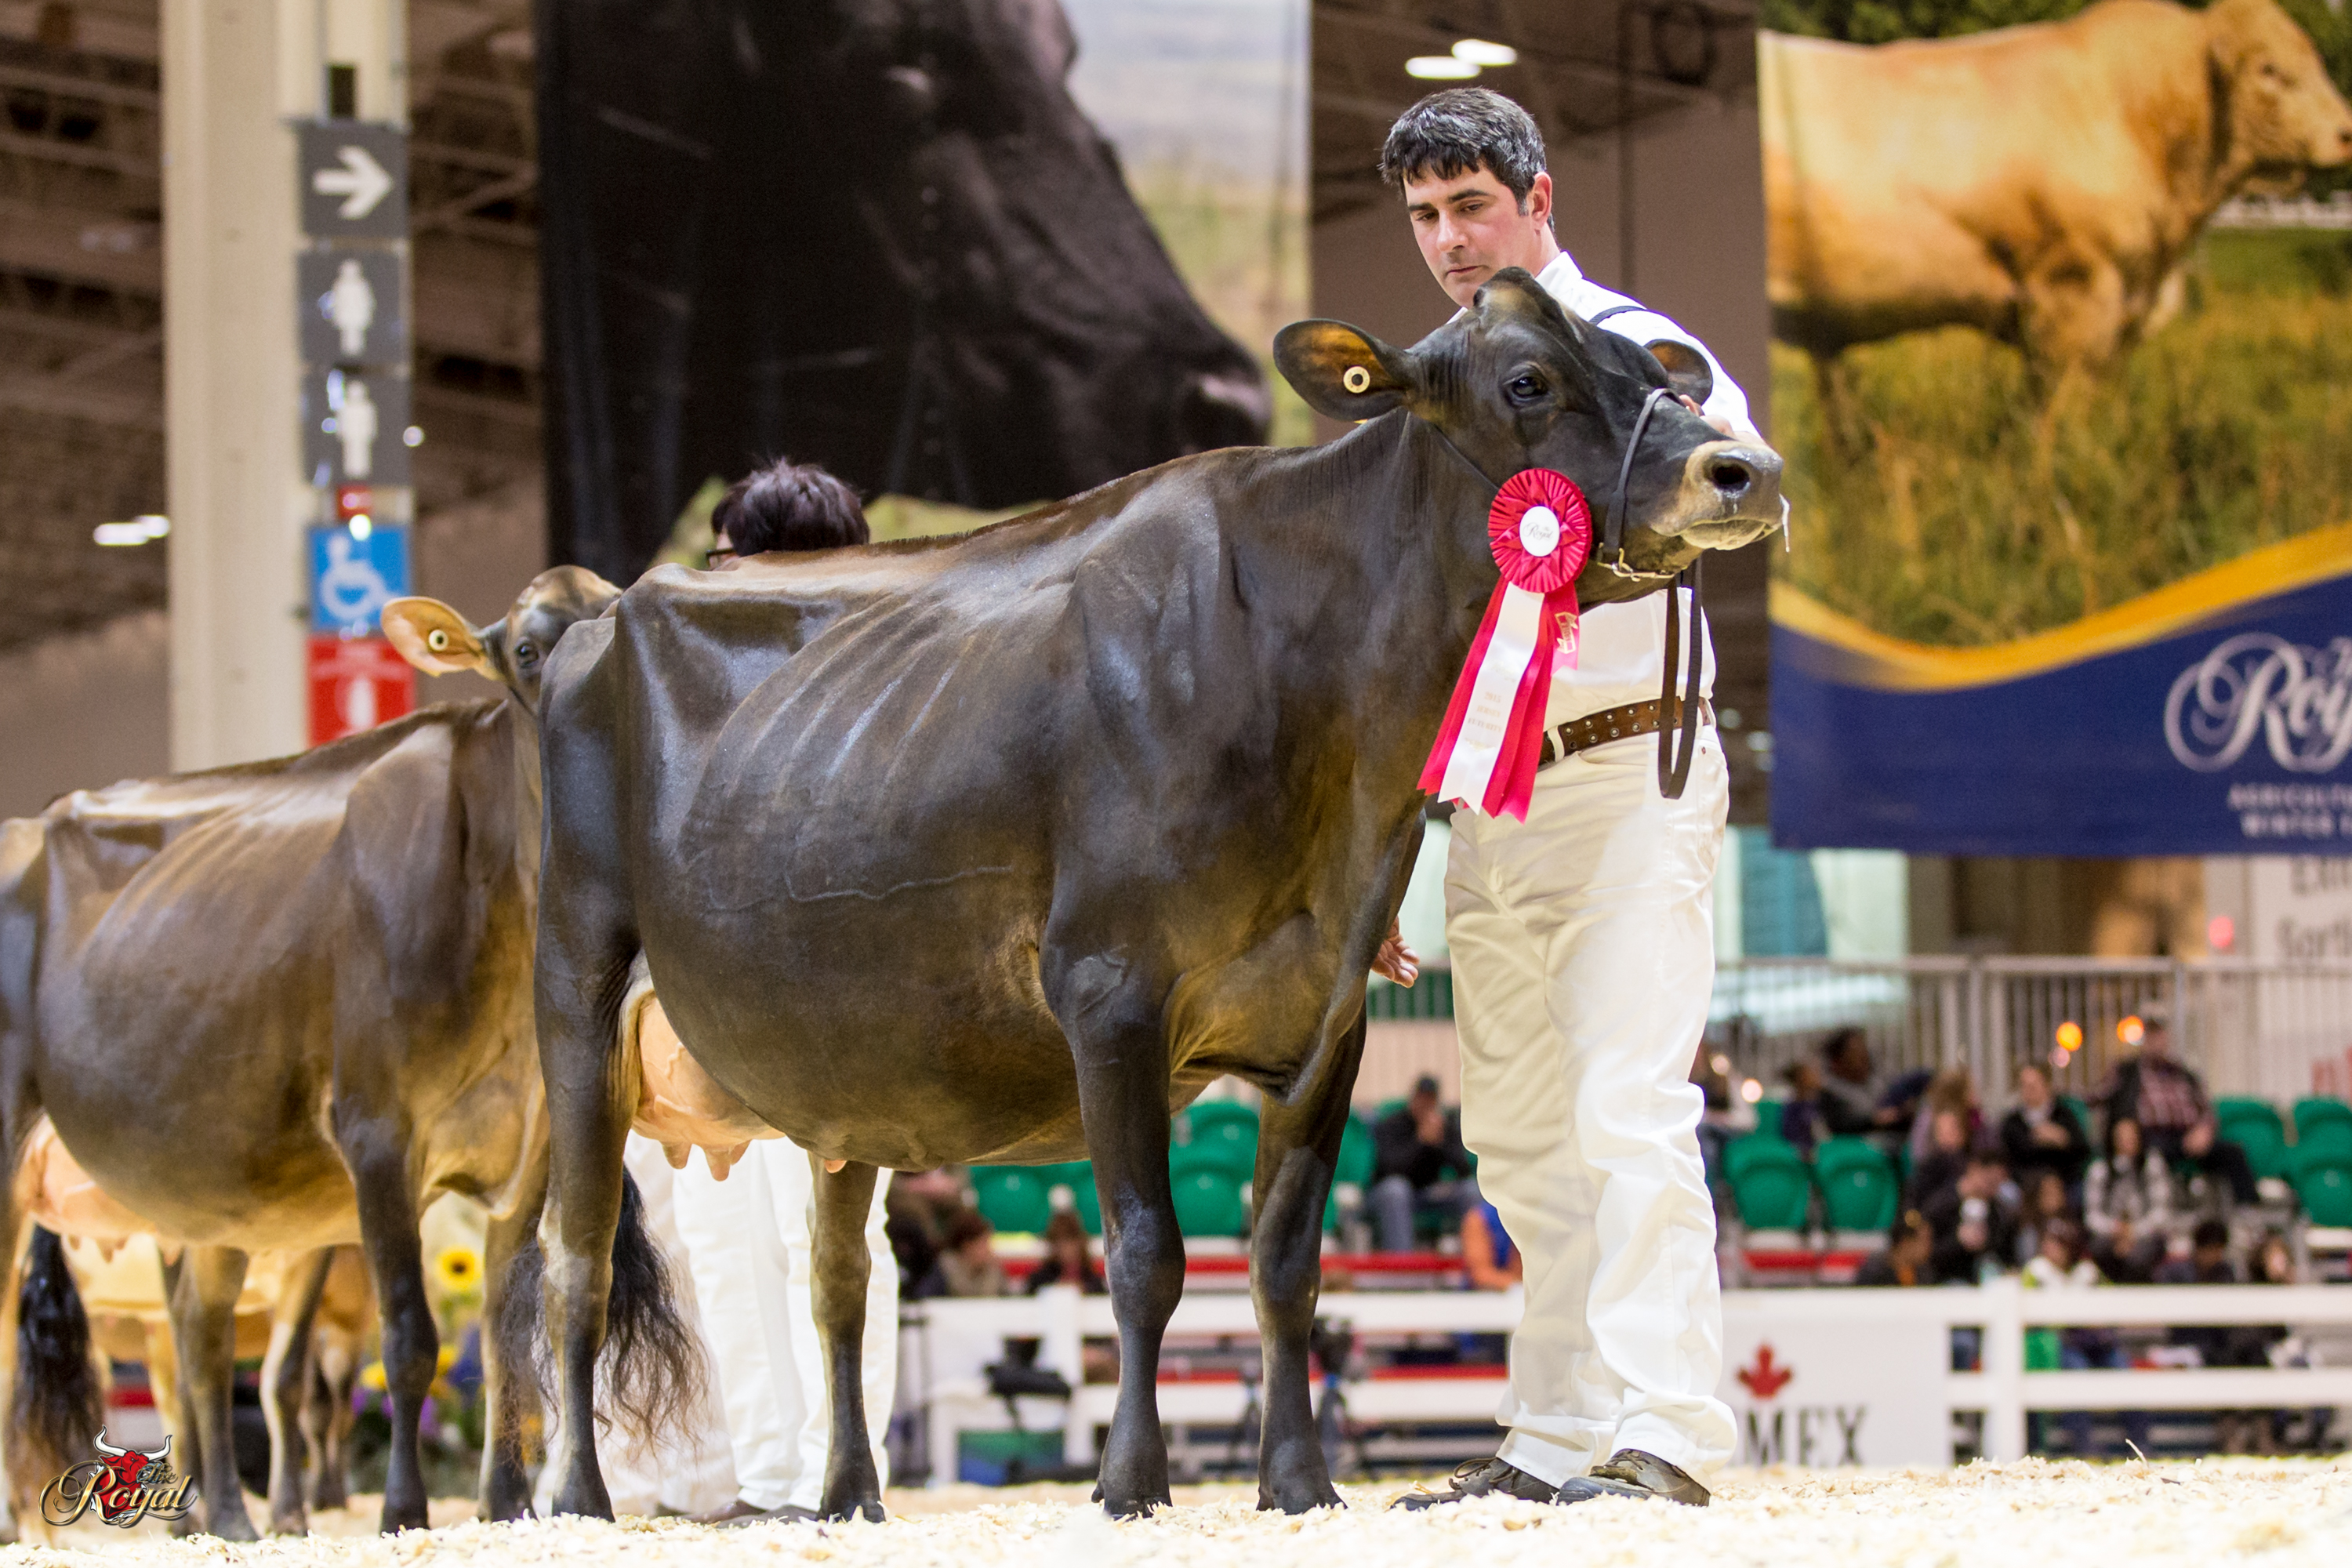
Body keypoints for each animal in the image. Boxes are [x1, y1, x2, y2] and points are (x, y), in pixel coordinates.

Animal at [0, 567, 700, 1540]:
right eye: (526, 649)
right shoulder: (376, 1131)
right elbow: (409, 1335)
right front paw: (403, 1508)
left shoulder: (526, 1146)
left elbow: (505, 1333)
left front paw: (504, 1505)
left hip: (216, 1186)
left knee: (201, 1334)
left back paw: (229, 1515)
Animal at [526, 270, 1786, 1524]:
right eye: (1529, 380)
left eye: (1665, 374)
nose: (1747, 470)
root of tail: (600, 611)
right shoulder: (1112, 993)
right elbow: (1146, 1254)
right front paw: (1131, 1481)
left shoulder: (1327, 1015)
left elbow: (1285, 1266)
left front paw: (1300, 1482)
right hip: (578, 994)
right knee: (575, 1259)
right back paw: (576, 1496)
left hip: (845, 1074)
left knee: (838, 1282)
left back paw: (849, 1497)